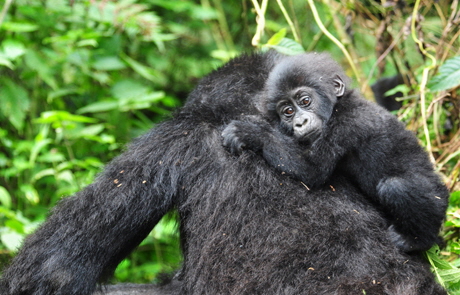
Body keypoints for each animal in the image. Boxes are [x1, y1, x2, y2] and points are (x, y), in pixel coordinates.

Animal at [223, 52, 450, 253]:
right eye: (288, 111)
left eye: (305, 101)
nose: (300, 122)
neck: (337, 106)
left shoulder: (345, 124)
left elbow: (312, 170)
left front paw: (251, 132)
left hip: (438, 201)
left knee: (396, 187)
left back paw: (417, 240)